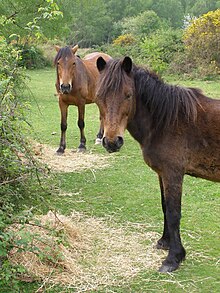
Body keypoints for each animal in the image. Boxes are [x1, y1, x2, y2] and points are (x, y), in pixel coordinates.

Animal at [96, 55, 220, 272]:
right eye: (99, 96)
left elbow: (173, 212)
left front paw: (173, 258)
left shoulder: (173, 174)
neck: (165, 121)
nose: (111, 142)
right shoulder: (162, 173)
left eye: (128, 95)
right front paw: (164, 243)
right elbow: (164, 207)